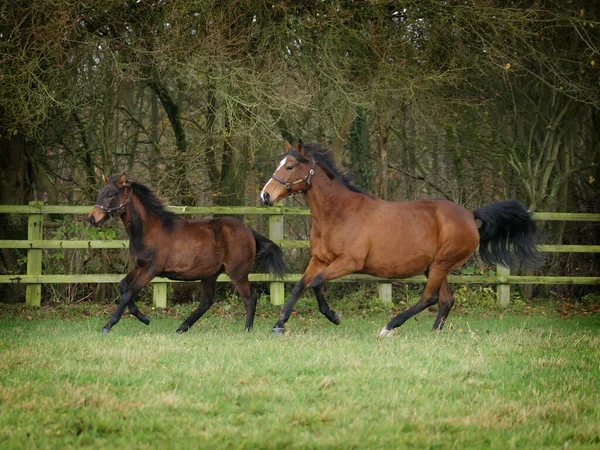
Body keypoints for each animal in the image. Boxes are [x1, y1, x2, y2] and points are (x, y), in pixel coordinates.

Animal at [88, 174, 288, 332]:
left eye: (111, 194)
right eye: (100, 193)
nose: (92, 218)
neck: (150, 229)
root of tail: (249, 231)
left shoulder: (151, 270)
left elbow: (129, 291)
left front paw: (108, 325)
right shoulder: (139, 266)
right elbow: (123, 285)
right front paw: (144, 318)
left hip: (238, 273)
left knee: (249, 298)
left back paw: (247, 330)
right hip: (209, 274)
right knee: (207, 301)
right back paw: (182, 328)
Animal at [260, 142, 540, 336]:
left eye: (290, 166)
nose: (265, 195)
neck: (339, 213)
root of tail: (470, 215)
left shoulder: (349, 262)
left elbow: (317, 283)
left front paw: (334, 316)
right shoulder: (319, 259)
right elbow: (300, 285)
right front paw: (279, 325)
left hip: (441, 264)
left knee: (430, 298)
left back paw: (389, 326)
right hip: (436, 266)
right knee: (445, 300)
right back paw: (434, 333)